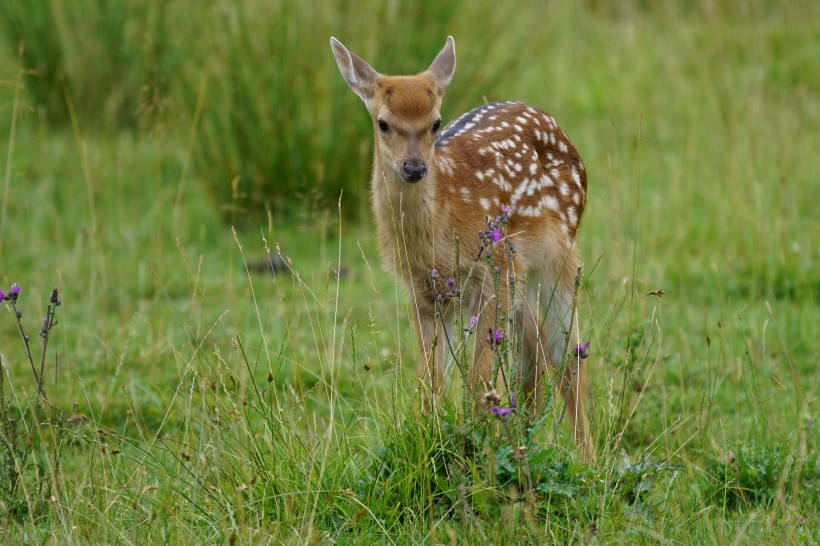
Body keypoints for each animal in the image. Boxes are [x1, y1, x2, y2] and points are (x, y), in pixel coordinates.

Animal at [330, 35, 592, 460]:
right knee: (535, 348)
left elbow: (478, 383)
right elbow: (429, 385)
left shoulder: (492, 272)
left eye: (436, 122)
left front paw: (477, 449)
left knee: (569, 356)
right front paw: (430, 444)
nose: (415, 167)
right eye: (383, 123)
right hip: (521, 276)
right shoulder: (423, 290)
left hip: (560, 255)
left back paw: (588, 460)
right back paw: (528, 436)